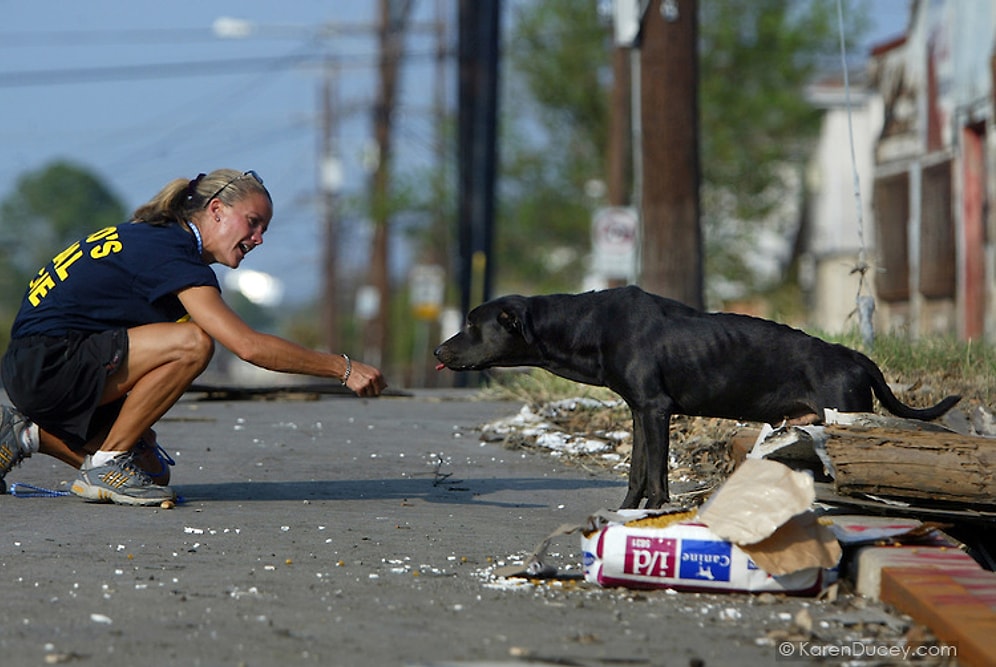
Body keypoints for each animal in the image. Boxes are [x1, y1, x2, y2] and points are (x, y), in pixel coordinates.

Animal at [432, 284, 960, 508]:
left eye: (472, 325)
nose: (438, 350)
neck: (590, 324)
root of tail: (855, 356)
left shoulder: (656, 409)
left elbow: (657, 476)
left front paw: (655, 513)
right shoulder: (640, 411)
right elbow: (637, 471)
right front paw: (627, 511)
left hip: (846, 417)